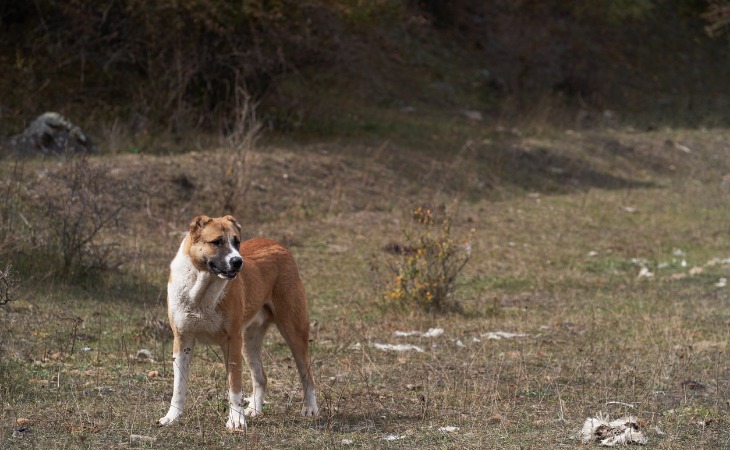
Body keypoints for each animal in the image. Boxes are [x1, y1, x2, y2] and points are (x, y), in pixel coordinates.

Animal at [158, 216, 318, 430]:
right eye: (217, 242)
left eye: (237, 242)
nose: (238, 261)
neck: (202, 288)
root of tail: (277, 245)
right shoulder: (182, 340)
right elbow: (178, 386)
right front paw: (172, 417)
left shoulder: (231, 342)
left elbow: (234, 387)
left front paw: (236, 421)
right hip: (248, 343)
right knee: (261, 377)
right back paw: (255, 409)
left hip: (293, 331)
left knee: (307, 373)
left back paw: (310, 408)